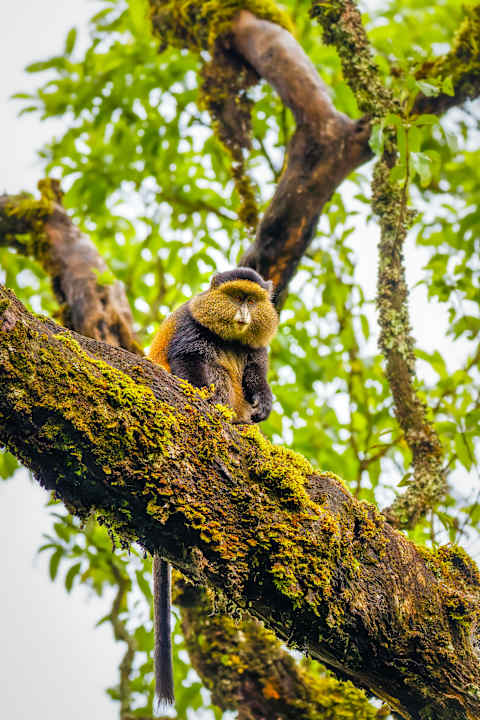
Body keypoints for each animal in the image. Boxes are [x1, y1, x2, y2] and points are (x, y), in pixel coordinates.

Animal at [148, 267, 278, 707]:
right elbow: (192, 360)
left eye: (252, 300)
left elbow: (256, 372)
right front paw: (206, 398)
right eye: (235, 297)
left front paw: (264, 404)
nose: (243, 313)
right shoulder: (192, 329)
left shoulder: (257, 349)